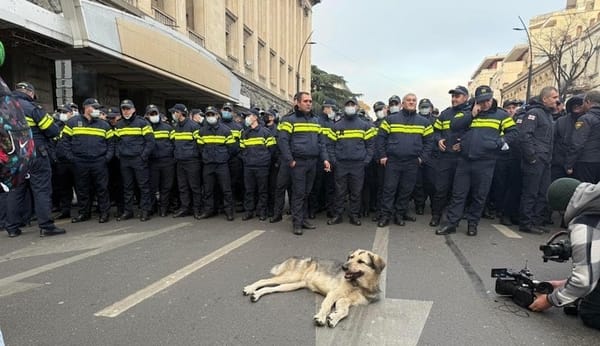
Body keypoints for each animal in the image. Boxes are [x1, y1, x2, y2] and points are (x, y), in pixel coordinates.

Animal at [243, 249, 386, 328]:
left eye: (361, 261)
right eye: (351, 257)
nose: (344, 267)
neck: (359, 285)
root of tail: (297, 256)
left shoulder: (344, 300)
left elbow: (344, 312)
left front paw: (334, 318)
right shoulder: (334, 293)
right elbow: (326, 306)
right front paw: (321, 317)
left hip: (291, 285)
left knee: (272, 288)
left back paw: (256, 295)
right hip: (290, 277)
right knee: (264, 281)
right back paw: (250, 288)